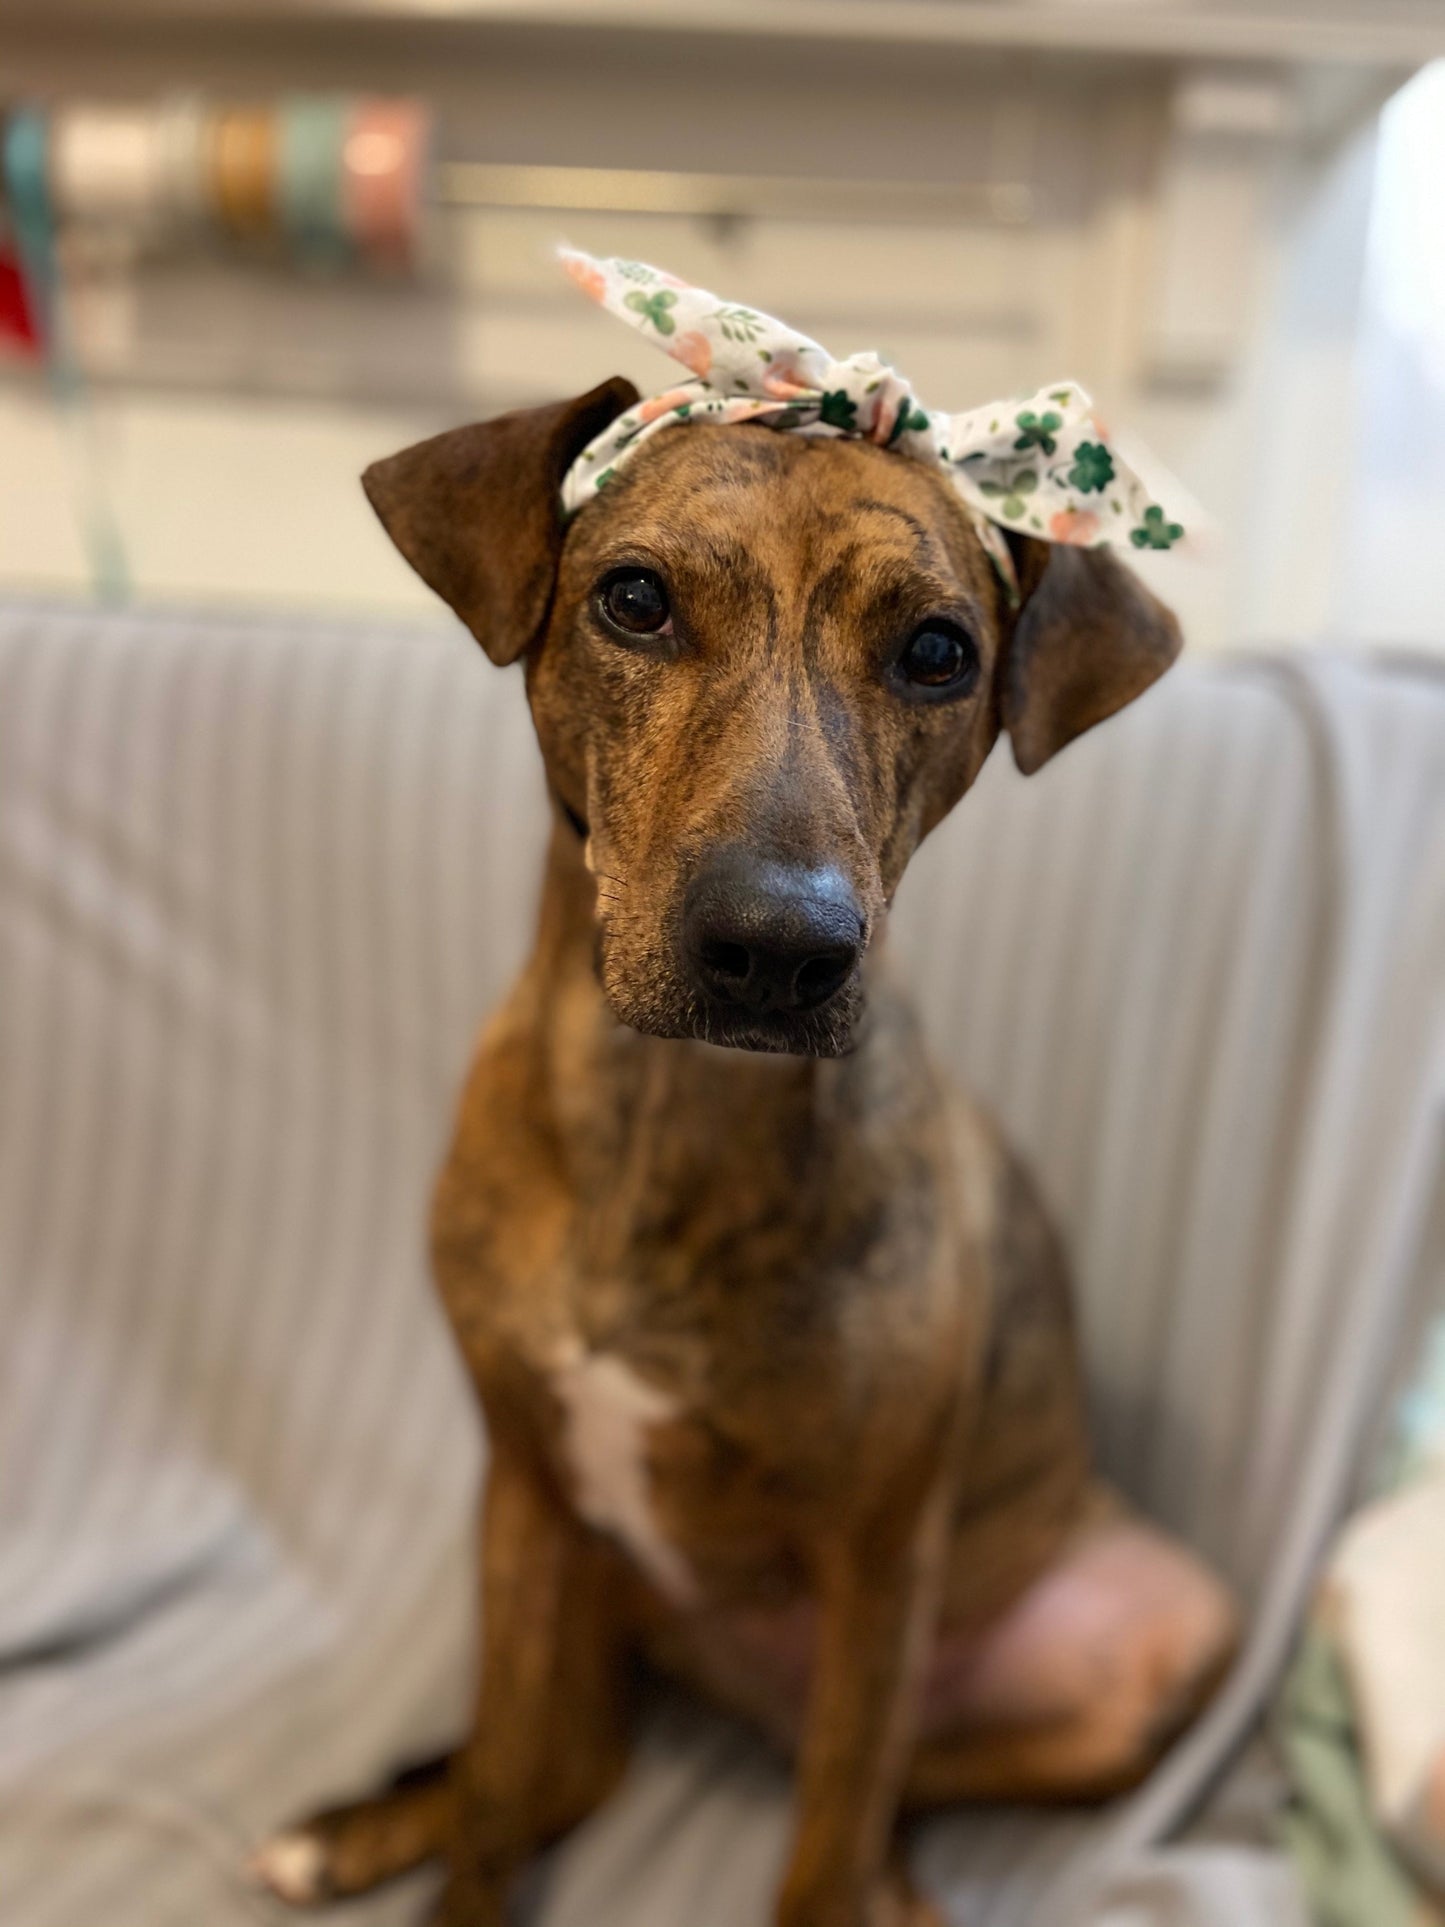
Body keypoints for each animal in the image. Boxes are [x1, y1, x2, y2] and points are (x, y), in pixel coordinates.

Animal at [254, 379, 1240, 1927]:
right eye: (634, 599)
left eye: (939, 650)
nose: (779, 950)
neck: (673, 1118)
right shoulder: (523, 1494)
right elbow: (493, 1802)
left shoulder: (882, 1558)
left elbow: (822, 1850)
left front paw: (849, 1879)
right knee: (538, 1767)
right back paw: (359, 1823)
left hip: (1146, 1638)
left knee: (870, 1789)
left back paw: (894, 1880)